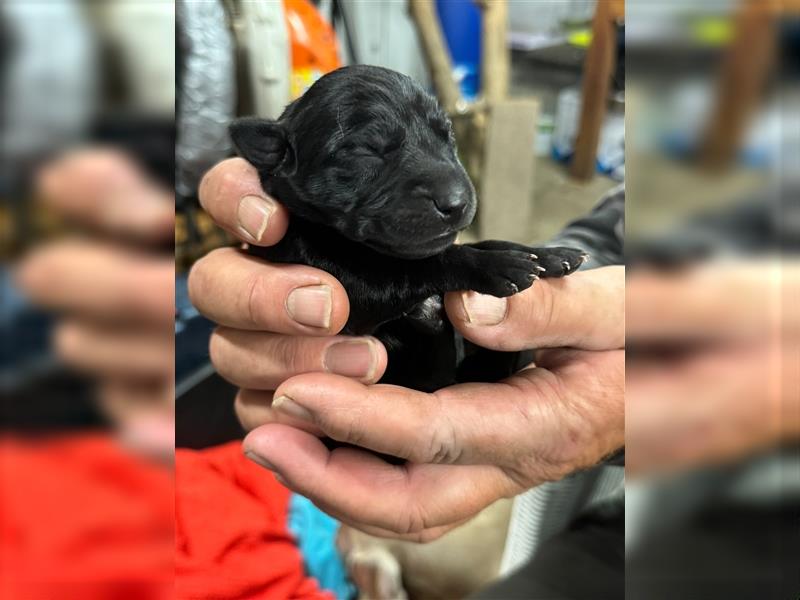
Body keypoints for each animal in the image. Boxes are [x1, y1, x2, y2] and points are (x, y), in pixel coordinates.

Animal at [231, 65, 588, 392]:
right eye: (366, 151)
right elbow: (423, 264)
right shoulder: (348, 289)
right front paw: (499, 266)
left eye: (448, 136)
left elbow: (482, 241)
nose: (457, 201)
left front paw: (551, 255)